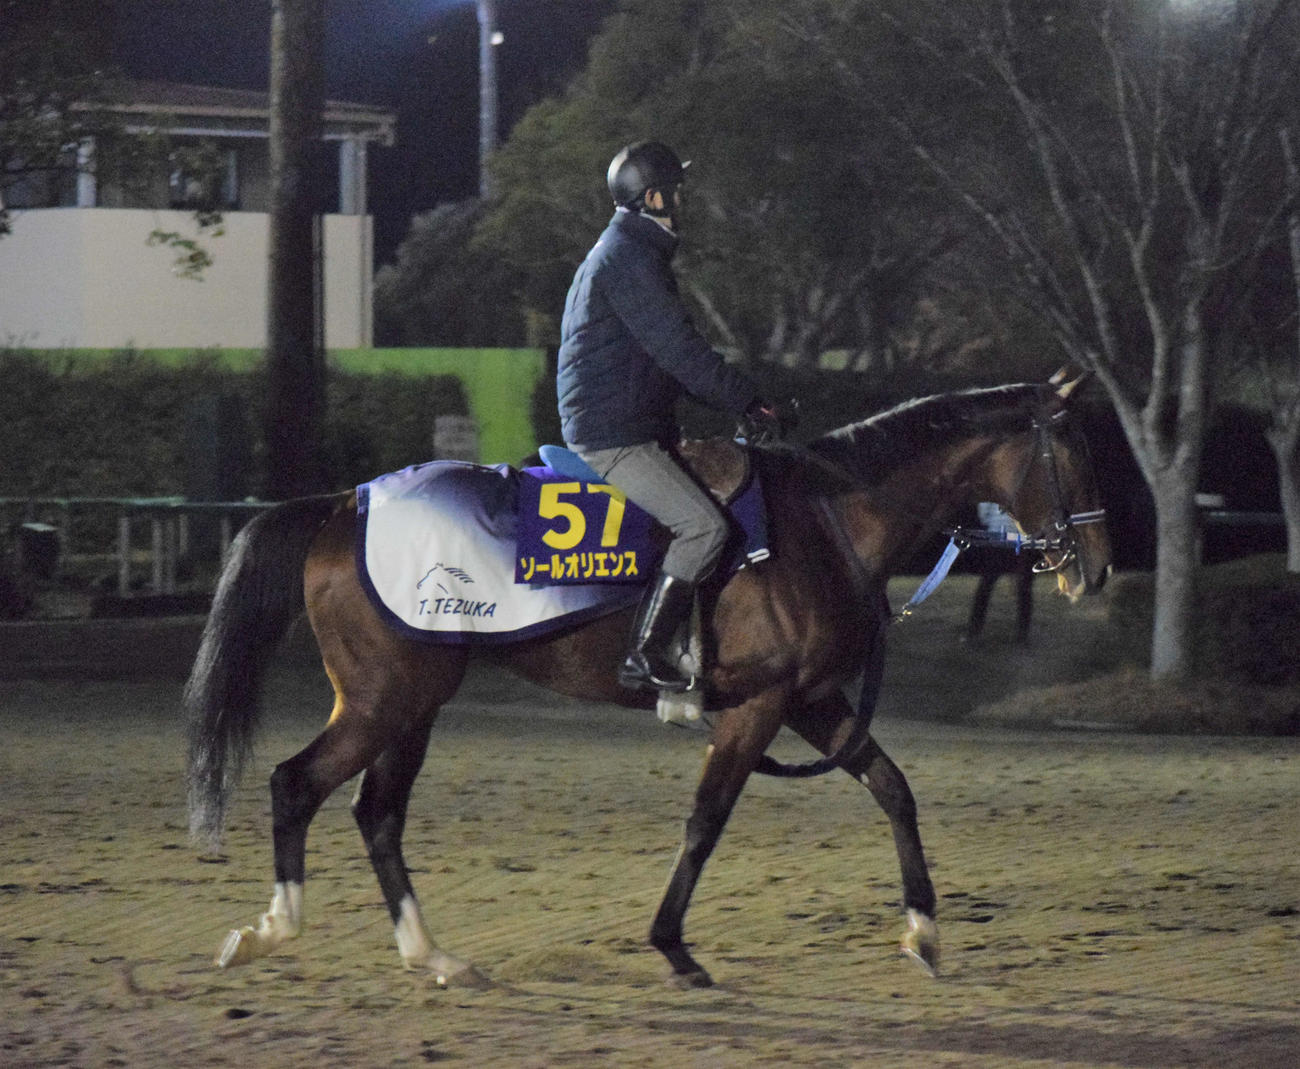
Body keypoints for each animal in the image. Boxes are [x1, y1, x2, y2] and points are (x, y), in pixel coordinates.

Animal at [184, 378, 1111, 989]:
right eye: (1071, 454)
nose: (1095, 569)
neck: (824, 519)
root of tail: (343, 504)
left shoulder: (809, 699)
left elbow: (893, 786)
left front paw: (923, 929)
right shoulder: (759, 706)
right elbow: (706, 819)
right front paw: (673, 945)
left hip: (413, 703)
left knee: (376, 812)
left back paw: (431, 953)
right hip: (387, 699)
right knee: (295, 782)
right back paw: (272, 929)